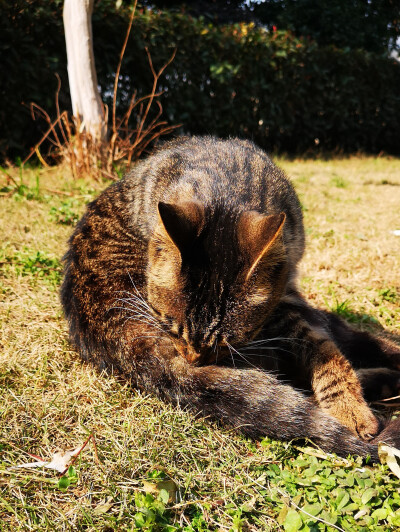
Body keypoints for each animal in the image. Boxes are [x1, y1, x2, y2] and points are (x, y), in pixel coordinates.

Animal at [60, 135, 400, 460]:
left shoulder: (284, 300)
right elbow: (321, 350)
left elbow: (324, 349)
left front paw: (350, 405)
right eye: (173, 330)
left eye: (226, 342)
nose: (194, 361)